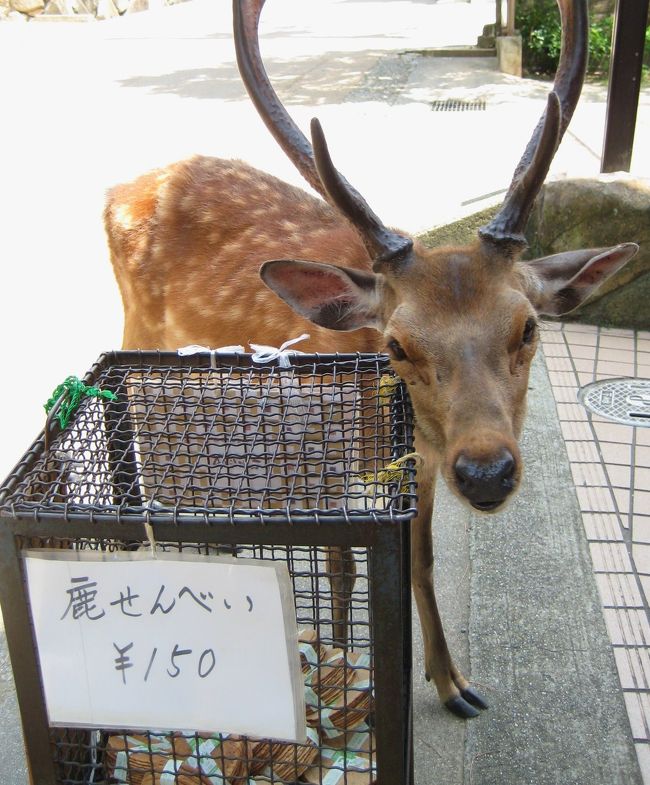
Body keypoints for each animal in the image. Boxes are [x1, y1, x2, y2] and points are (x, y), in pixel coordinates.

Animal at [104, 0, 638, 719]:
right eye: (397, 344)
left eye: (528, 327)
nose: (488, 471)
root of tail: (117, 189)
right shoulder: (324, 451)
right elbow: (341, 562)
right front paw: (340, 662)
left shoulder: (423, 467)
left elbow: (421, 558)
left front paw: (452, 683)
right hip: (137, 335)